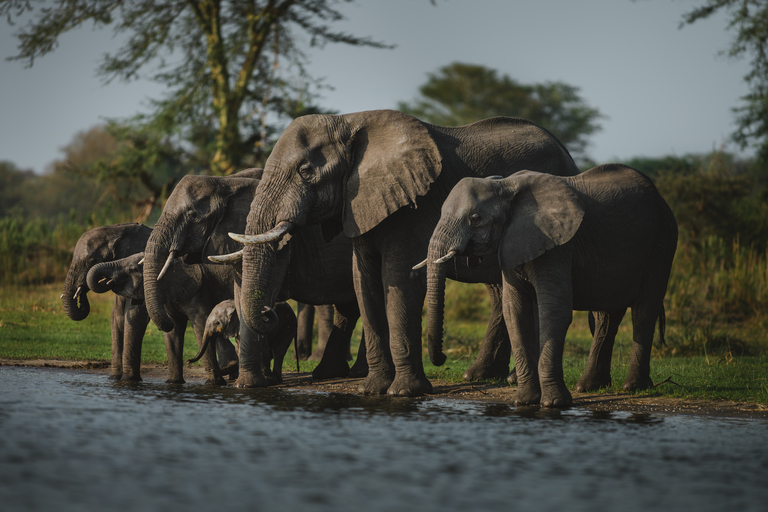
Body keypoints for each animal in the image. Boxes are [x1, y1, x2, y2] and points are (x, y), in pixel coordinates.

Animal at [63, 222, 154, 382]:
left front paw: (129, 380)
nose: (81, 291)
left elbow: (136, 315)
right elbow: (117, 316)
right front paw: (114, 378)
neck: (116, 231)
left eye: (92, 261)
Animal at [142, 170, 368, 386]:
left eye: (192, 214)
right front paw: (254, 381)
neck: (225, 183)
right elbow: (241, 294)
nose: (168, 323)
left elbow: (262, 292)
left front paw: (255, 382)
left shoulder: (279, 244)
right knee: (348, 309)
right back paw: (327, 374)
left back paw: (355, 373)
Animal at [228, 108, 592, 396]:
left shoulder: (413, 204)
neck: (350, 120)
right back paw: (482, 376)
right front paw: (374, 389)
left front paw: (404, 392)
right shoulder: (361, 204)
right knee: (501, 291)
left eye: (306, 171)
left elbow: (398, 279)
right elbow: (364, 281)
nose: (270, 311)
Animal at [420, 164, 680, 408]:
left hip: (662, 242)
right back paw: (590, 386)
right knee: (607, 314)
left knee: (644, 311)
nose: (442, 358)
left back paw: (633, 387)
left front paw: (554, 403)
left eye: (475, 218)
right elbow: (515, 312)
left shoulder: (557, 245)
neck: (505, 185)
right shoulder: (513, 243)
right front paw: (524, 401)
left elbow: (553, 311)